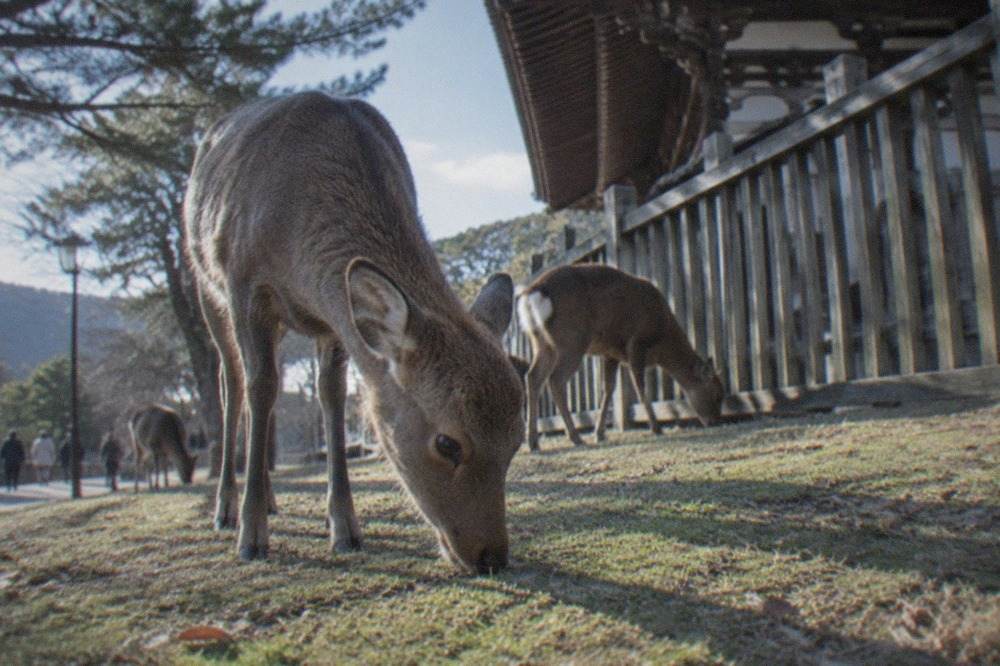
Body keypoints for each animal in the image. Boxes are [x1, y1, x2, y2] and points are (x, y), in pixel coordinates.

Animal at [183, 92, 524, 573]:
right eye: (447, 443)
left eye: (517, 440)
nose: (491, 556)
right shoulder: (244, 282)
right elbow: (261, 387)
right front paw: (252, 538)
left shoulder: (334, 319)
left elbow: (331, 395)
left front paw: (344, 528)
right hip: (205, 287)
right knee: (233, 383)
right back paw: (228, 508)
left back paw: (269, 498)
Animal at [517, 264, 725, 451]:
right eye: (717, 395)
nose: (714, 421)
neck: (662, 340)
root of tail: (534, 293)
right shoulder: (637, 343)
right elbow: (639, 386)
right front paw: (656, 427)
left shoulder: (611, 353)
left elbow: (608, 389)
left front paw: (600, 433)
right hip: (572, 340)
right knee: (556, 379)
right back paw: (575, 437)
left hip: (542, 343)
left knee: (533, 377)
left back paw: (533, 442)